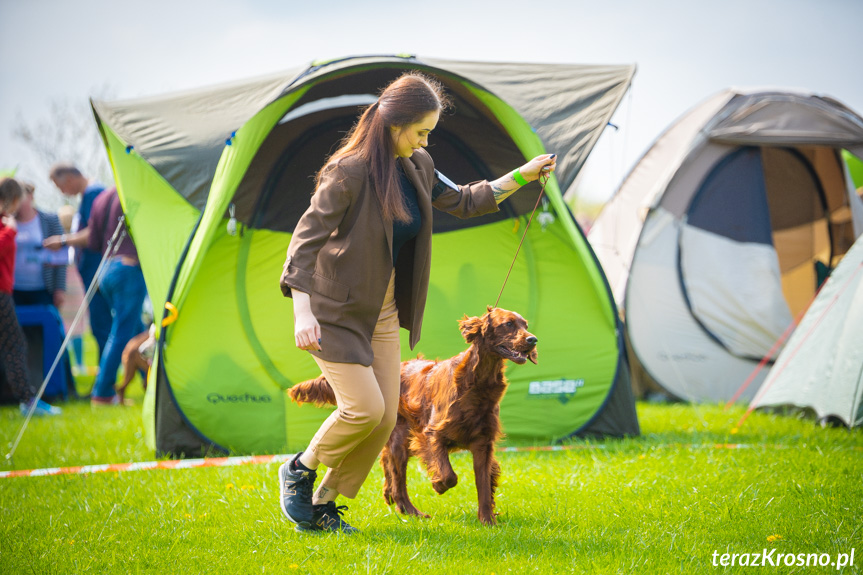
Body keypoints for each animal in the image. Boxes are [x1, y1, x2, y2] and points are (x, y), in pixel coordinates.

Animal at [290, 306, 536, 528]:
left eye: (525, 324)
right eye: (508, 324)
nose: (533, 340)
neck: (477, 383)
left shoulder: (483, 444)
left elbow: (483, 484)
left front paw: (488, 521)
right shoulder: (433, 434)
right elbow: (449, 475)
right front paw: (438, 485)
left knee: (387, 464)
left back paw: (391, 495)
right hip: (400, 440)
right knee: (400, 482)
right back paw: (411, 510)